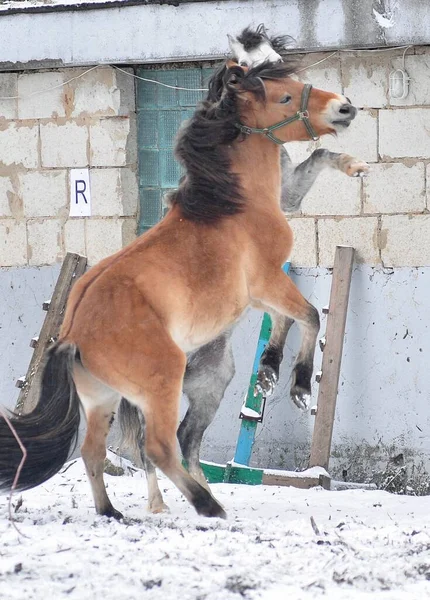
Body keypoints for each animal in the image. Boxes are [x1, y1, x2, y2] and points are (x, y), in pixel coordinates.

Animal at [0, 59, 356, 520]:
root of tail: (73, 333)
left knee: (96, 450)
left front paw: (270, 371)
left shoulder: (262, 291)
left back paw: (113, 512)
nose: (344, 108)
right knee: (159, 447)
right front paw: (297, 386)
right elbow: (310, 315)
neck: (232, 205)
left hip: (103, 398)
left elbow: (288, 319)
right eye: (285, 97)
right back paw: (207, 505)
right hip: (160, 386)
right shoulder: (266, 281)